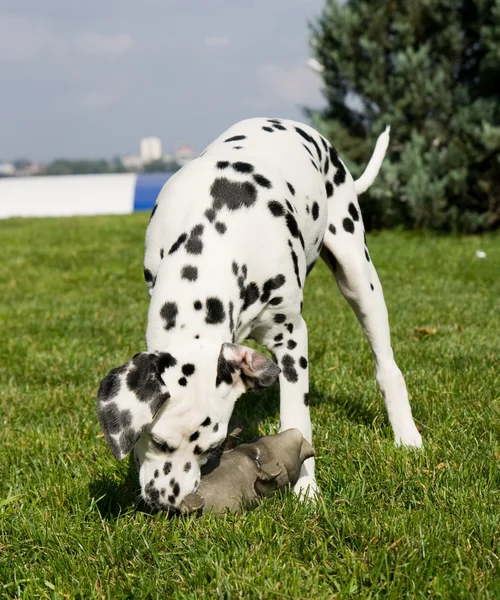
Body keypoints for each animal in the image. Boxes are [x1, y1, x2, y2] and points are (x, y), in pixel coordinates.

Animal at [94, 117, 422, 510]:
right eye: (158, 442)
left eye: (208, 449)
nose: (169, 501)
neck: (217, 240)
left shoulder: (292, 339)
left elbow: (297, 421)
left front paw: (307, 489)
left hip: (358, 275)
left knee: (386, 363)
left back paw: (406, 435)